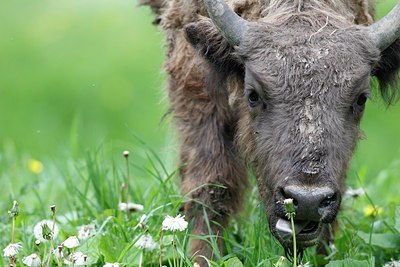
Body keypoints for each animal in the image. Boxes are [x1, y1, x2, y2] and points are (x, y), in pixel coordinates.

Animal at [140, 0, 400, 264]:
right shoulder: (196, 83)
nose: (307, 200)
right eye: (253, 95)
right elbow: (212, 182)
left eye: (361, 99)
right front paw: (203, 258)